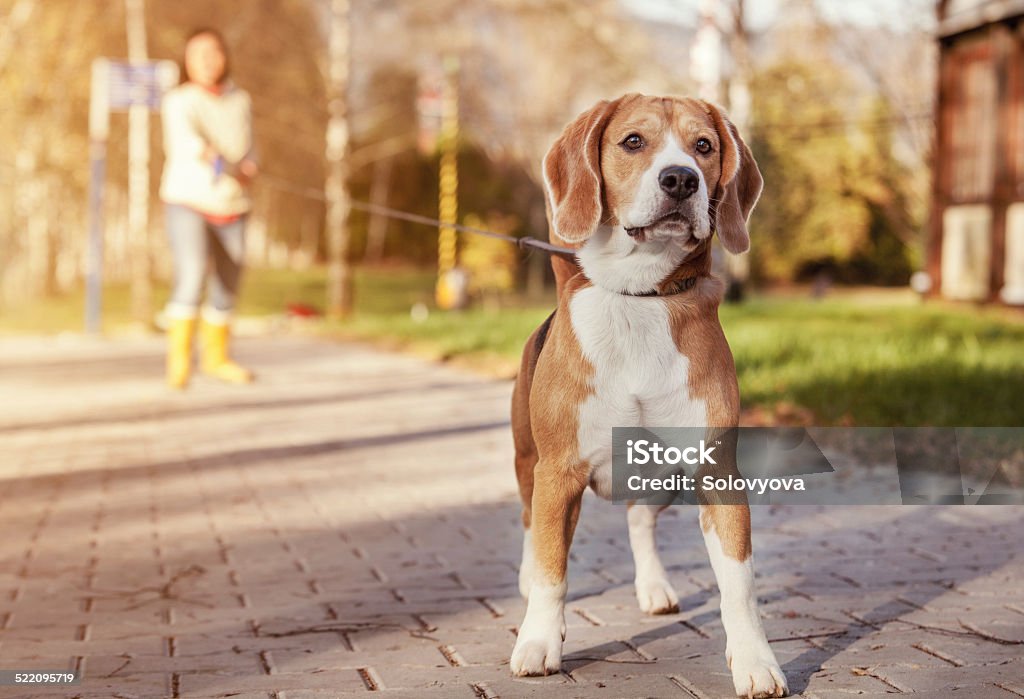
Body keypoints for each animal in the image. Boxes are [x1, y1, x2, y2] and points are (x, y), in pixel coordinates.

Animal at [512, 94, 790, 699]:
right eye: (633, 141)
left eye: (703, 146)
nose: (681, 179)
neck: (640, 296)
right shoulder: (558, 472)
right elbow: (552, 571)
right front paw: (539, 641)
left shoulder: (717, 473)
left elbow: (739, 584)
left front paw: (755, 661)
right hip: (528, 462)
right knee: (530, 523)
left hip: (662, 478)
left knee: (640, 521)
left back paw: (654, 587)